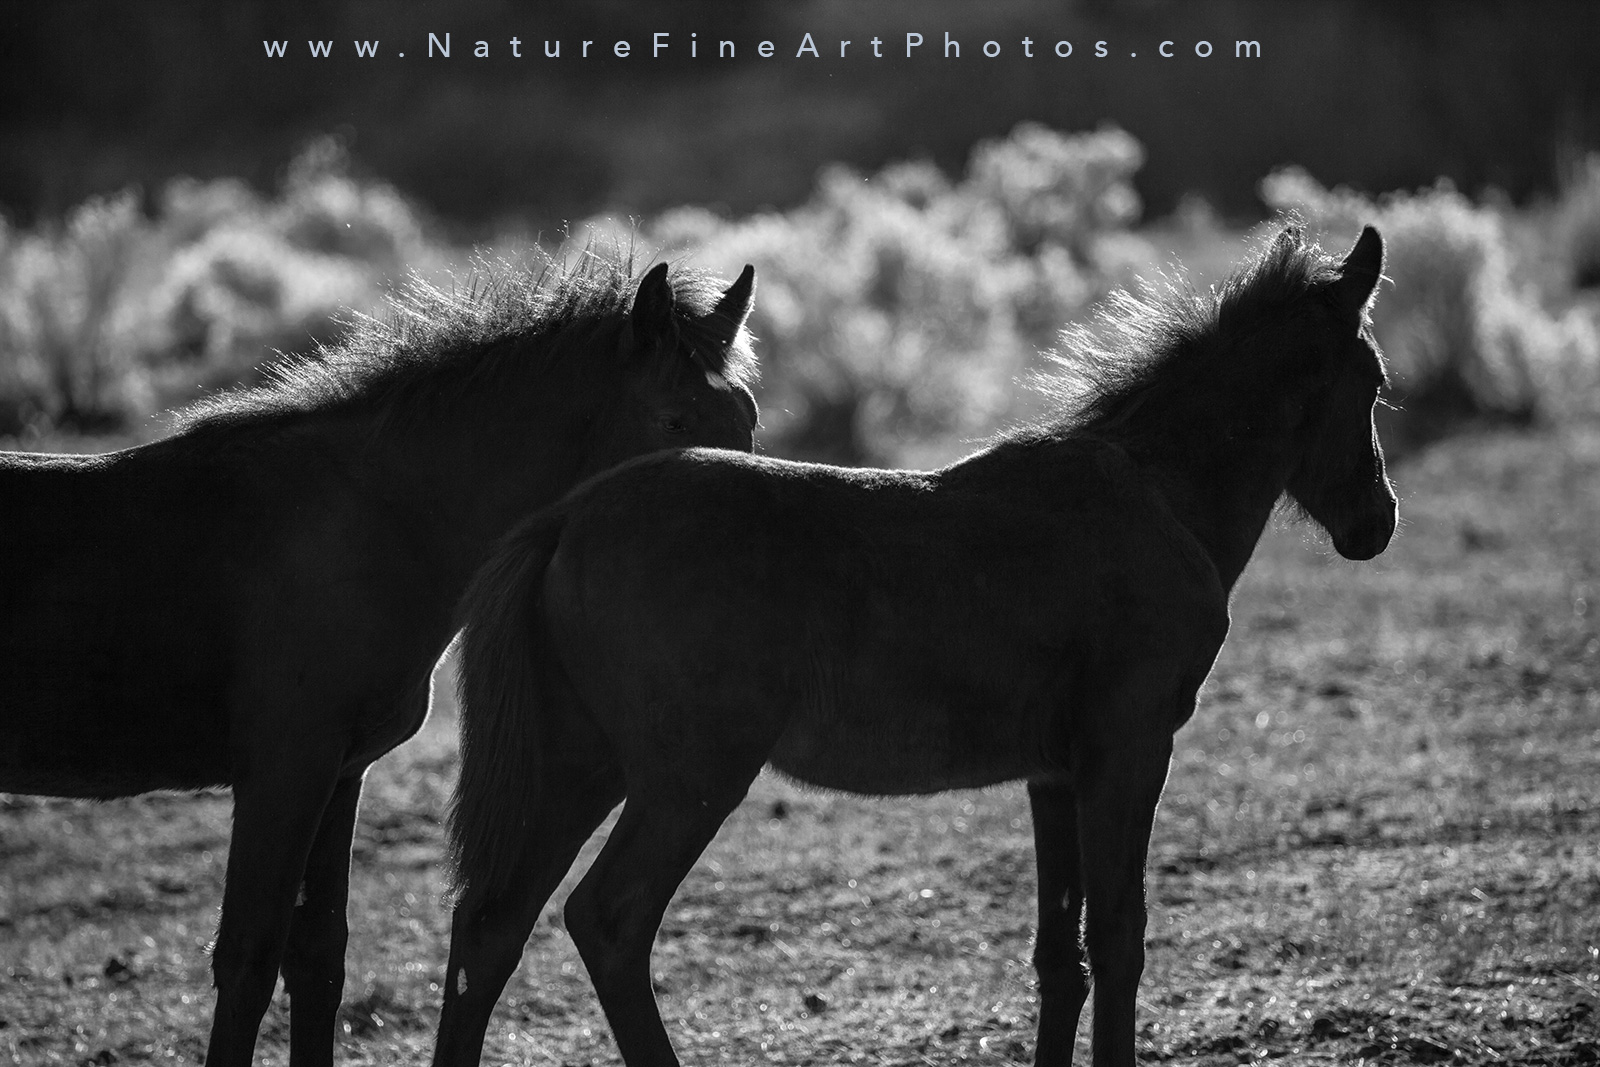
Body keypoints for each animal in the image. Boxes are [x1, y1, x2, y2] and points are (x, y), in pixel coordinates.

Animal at [0, 252, 761, 1067]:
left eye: (747, 417)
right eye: (674, 420)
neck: (376, 520)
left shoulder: (339, 774)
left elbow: (317, 960)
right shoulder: (283, 771)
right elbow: (247, 958)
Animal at [438, 220, 1401, 1062]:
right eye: (1371, 380)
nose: (1377, 520)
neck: (1156, 490)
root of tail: (566, 517)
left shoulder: (1055, 772)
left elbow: (1062, 958)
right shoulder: (1129, 748)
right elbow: (1120, 941)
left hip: (581, 766)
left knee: (489, 930)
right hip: (687, 777)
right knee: (609, 920)